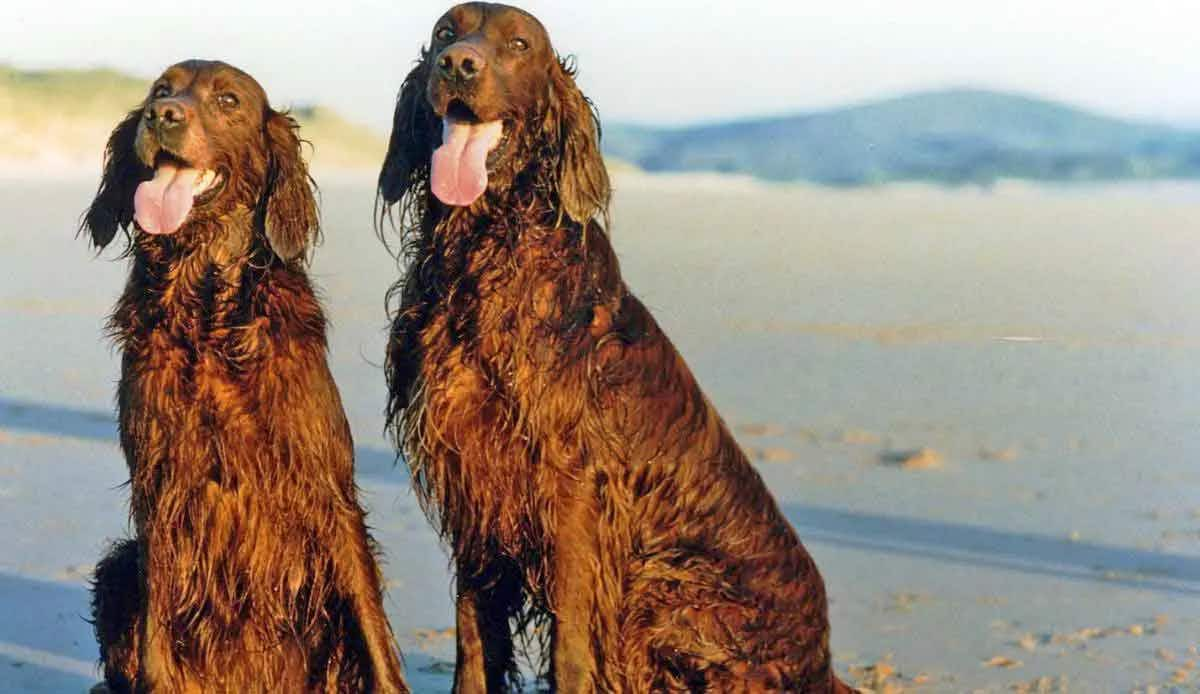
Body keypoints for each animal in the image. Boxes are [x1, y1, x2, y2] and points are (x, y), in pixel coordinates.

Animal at [81, 60, 408, 691]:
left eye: (228, 100)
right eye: (161, 89)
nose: (162, 115)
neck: (209, 316)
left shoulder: (326, 487)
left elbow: (373, 630)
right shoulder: (161, 488)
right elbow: (157, 637)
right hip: (116, 567)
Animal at [376, 4, 854, 686]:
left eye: (518, 44)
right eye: (446, 30)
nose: (458, 65)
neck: (486, 251)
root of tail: (822, 662)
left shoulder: (574, 492)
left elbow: (573, 649)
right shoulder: (475, 478)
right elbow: (473, 634)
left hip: (666, 585)